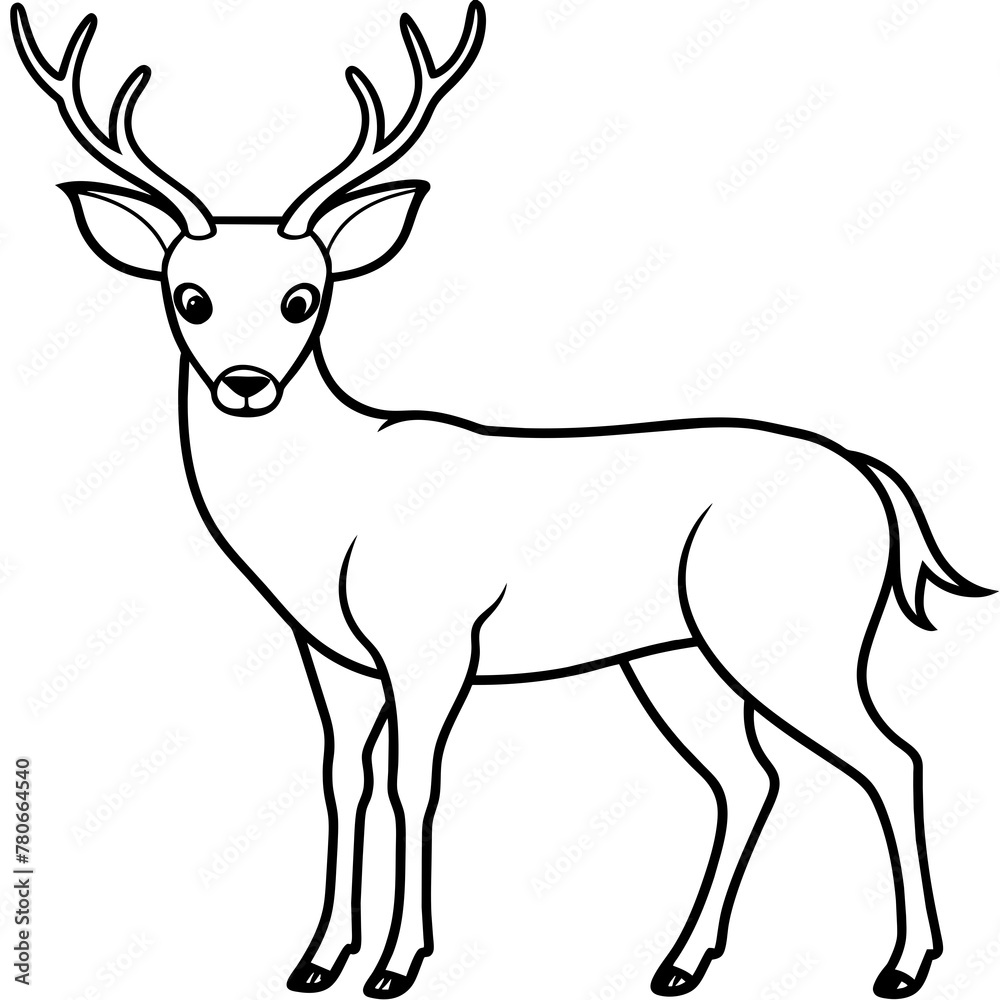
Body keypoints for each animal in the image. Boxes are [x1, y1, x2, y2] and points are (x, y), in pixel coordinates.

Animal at [10, 3, 992, 997]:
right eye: (189, 297)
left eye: (304, 298)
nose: (245, 384)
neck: (327, 516)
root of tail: (872, 478)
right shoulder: (330, 654)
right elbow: (340, 781)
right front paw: (317, 960)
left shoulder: (432, 641)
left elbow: (414, 785)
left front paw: (396, 964)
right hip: (673, 656)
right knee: (750, 777)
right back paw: (680, 963)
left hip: (791, 633)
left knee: (892, 756)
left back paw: (903, 966)